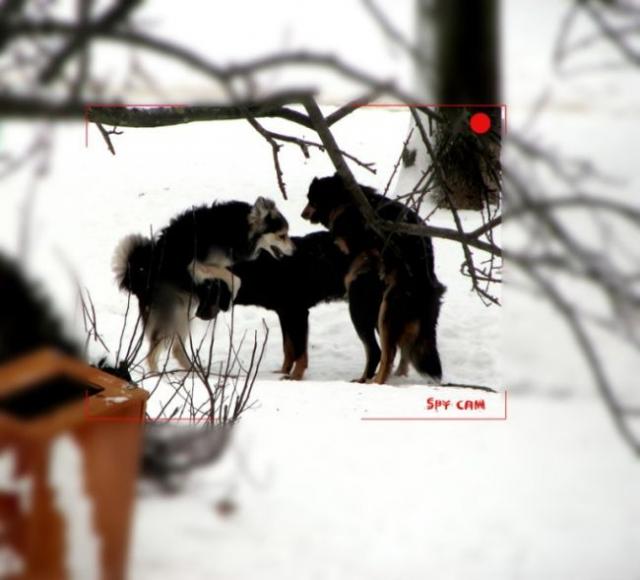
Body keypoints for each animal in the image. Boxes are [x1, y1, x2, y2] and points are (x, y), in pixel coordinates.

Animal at [113, 197, 296, 370]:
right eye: (282, 235)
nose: (294, 251)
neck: (239, 229)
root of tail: (139, 276)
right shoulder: (196, 265)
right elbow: (234, 279)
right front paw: (230, 296)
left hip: (183, 312)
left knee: (177, 350)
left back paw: (194, 373)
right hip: (170, 313)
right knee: (152, 356)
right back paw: (160, 377)